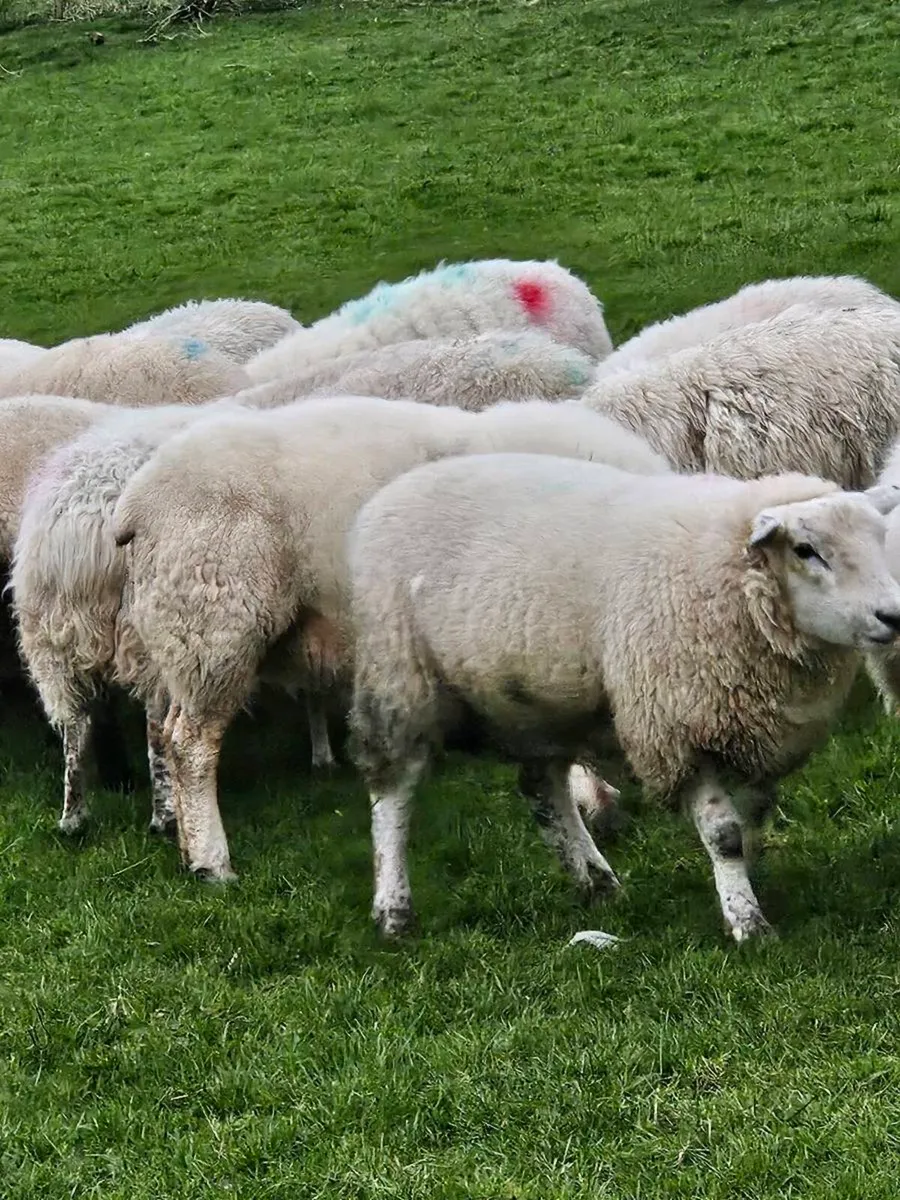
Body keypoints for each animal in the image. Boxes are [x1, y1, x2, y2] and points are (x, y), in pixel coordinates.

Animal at [107, 395, 669, 881]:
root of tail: (137, 503)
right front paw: (594, 802)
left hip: (182, 635)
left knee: (166, 731)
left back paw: (185, 844)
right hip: (215, 625)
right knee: (192, 744)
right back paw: (212, 862)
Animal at [345, 454, 900, 940]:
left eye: (881, 539)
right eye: (806, 550)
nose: (892, 615)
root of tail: (390, 492)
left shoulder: (757, 733)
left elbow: (753, 818)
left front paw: (747, 882)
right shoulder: (673, 728)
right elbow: (724, 833)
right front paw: (746, 921)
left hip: (539, 698)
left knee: (543, 790)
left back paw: (596, 881)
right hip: (399, 675)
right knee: (393, 792)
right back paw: (394, 911)